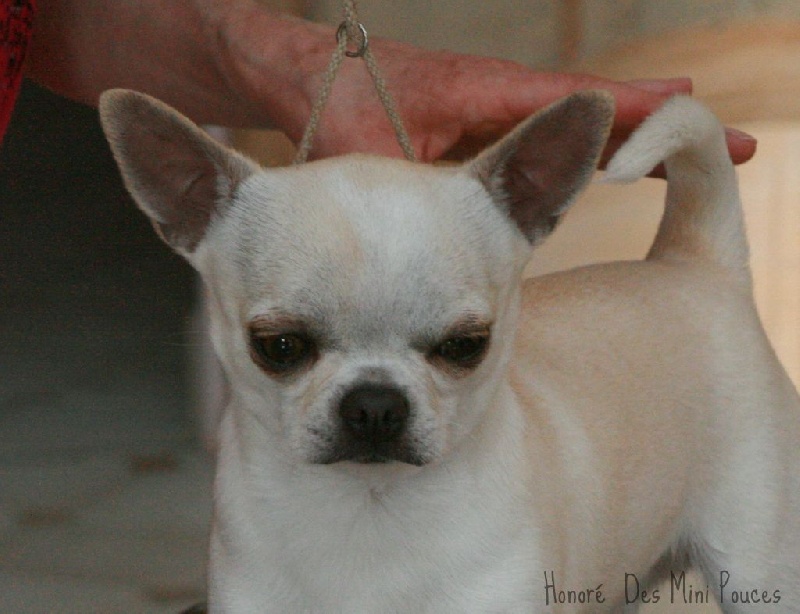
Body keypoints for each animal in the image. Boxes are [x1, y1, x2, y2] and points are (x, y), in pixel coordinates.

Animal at [100, 89, 800, 612]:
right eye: (278, 347)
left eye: (466, 346)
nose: (374, 404)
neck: (369, 507)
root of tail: (694, 262)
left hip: (757, 564)